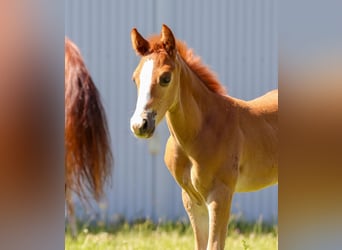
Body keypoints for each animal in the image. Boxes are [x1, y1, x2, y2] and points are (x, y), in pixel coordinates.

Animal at [130, 25, 276, 250]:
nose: (139, 125)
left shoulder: (220, 195)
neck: (200, 132)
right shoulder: (192, 199)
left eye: (165, 78)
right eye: (135, 78)